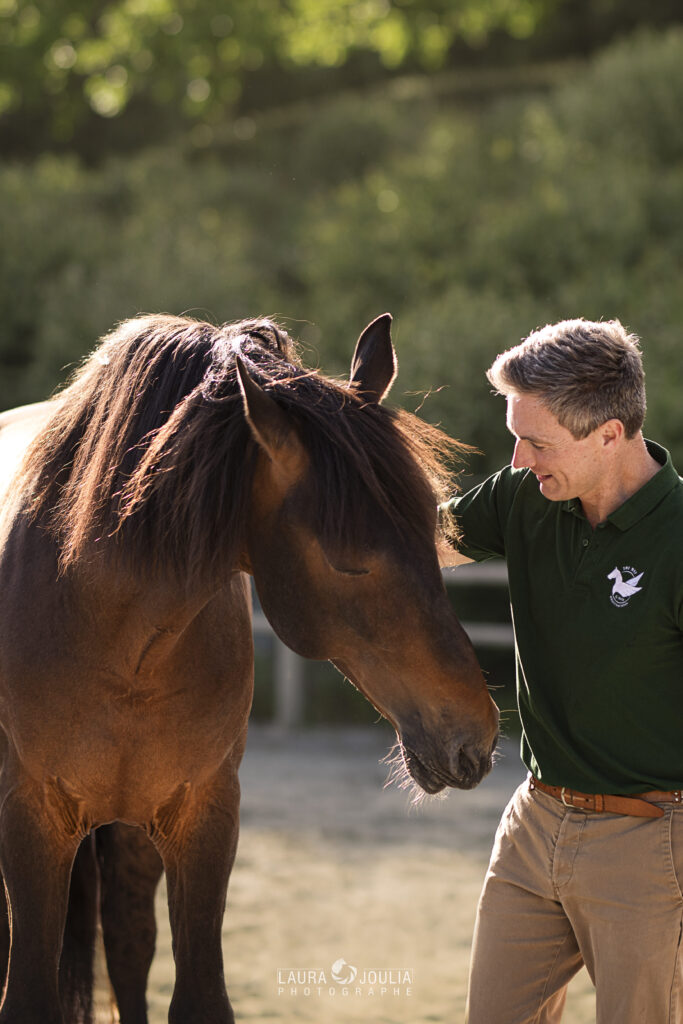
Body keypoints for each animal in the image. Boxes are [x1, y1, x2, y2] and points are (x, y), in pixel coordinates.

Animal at [0, 311, 499, 1023]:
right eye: (349, 561)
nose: (475, 736)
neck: (116, 635)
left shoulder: (204, 818)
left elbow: (199, 996)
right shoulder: (32, 818)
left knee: (128, 945)